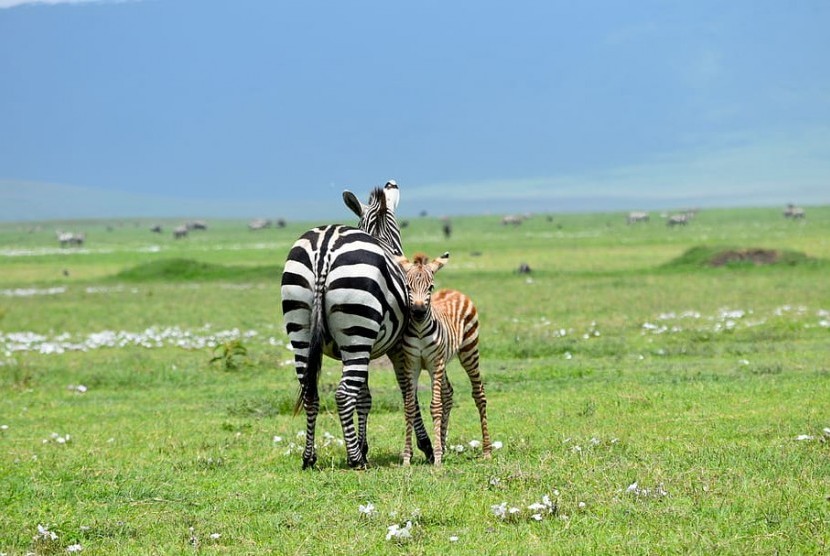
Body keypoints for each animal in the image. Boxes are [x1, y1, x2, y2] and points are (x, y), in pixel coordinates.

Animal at [284, 182, 428, 470]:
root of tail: (324, 247)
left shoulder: (357, 351)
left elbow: (365, 398)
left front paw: (364, 445)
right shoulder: (398, 347)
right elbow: (407, 391)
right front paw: (425, 445)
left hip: (304, 329)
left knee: (310, 392)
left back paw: (309, 457)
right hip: (358, 334)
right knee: (342, 394)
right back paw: (355, 459)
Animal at [398, 252, 490, 464]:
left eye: (430, 287)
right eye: (407, 286)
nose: (418, 312)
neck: (420, 330)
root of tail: (453, 290)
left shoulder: (435, 363)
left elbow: (436, 406)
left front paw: (438, 458)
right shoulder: (411, 364)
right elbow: (410, 407)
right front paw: (407, 458)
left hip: (469, 352)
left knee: (479, 394)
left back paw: (487, 450)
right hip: (444, 361)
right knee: (448, 394)